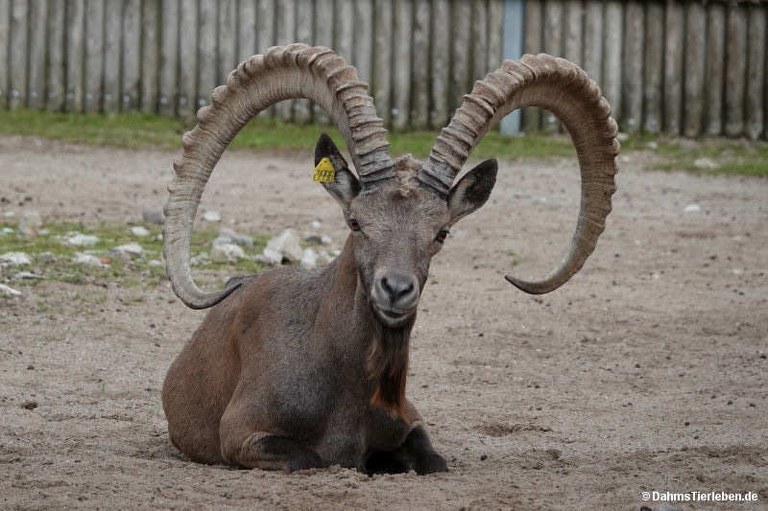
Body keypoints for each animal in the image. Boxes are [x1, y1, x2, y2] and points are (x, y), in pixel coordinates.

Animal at [161, 44, 618, 474]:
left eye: (441, 233)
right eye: (355, 222)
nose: (395, 290)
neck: (343, 382)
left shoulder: (411, 424)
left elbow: (432, 460)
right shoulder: (242, 434)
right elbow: (311, 459)